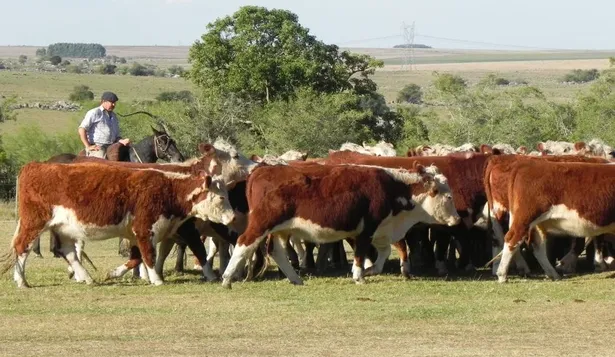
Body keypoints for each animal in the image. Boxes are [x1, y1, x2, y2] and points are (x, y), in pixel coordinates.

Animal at [0, 161, 235, 286]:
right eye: (221, 197)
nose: (233, 218)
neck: (168, 188)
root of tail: (36, 165)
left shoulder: (138, 233)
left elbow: (137, 257)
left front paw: (114, 273)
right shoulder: (145, 229)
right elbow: (149, 256)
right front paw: (156, 279)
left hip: (63, 228)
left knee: (67, 252)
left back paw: (86, 277)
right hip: (34, 223)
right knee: (22, 247)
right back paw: (21, 281)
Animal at [220, 163, 458, 288]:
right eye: (448, 196)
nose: (456, 219)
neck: (393, 187)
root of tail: (263, 169)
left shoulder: (380, 230)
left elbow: (382, 255)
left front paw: (370, 270)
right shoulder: (366, 230)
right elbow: (362, 254)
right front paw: (359, 276)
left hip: (281, 230)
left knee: (275, 251)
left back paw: (296, 279)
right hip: (262, 224)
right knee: (244, 243)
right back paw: (227, 278)